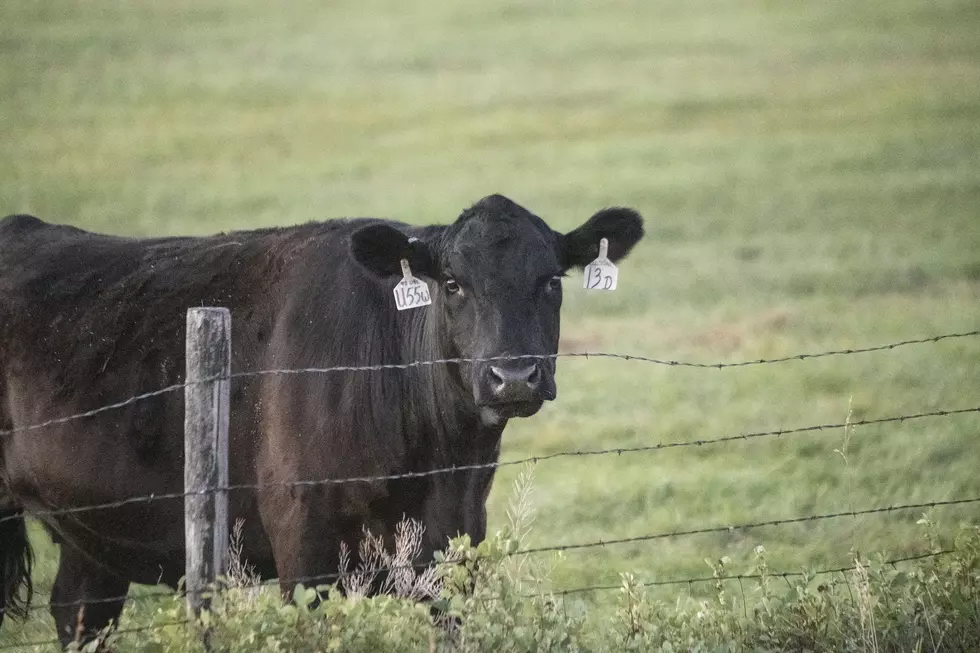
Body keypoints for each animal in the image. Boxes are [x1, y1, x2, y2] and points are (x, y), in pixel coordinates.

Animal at [0, 194, 644, 640]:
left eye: (551, 280)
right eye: (452, 283)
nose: (512, 376)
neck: (435, 464)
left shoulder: (452, 552)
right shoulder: (305, 553)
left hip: (91, 530)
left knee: (79, 613)